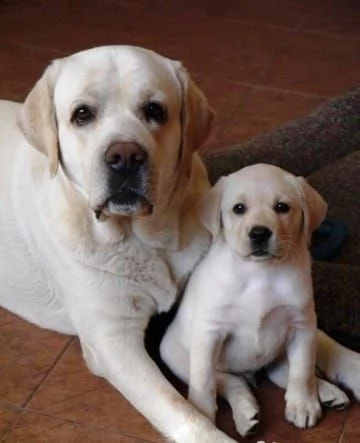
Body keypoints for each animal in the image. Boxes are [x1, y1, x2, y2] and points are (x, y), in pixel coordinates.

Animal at [161, 165, 352, 438]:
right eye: (239, 208)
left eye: (282, 207)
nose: (259, 232)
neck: (260, 272)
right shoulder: (210, 331)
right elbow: (204, 380)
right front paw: (202, 415)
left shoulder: (302, 326)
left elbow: (302, 370)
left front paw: (303, 404)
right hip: (175, 356)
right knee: (229, 381)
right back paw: (246, 412)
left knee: (285, 374)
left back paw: (326, 392)